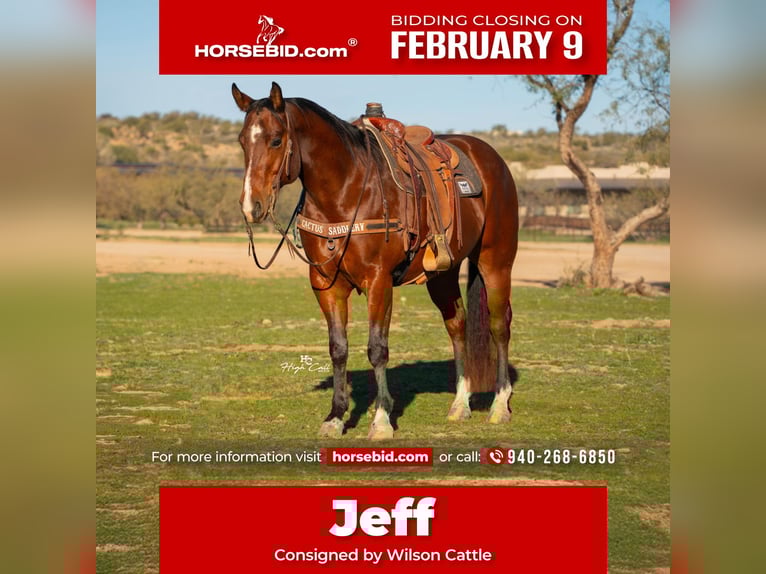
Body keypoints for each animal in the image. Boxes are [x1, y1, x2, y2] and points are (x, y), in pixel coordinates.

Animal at [232, 82, 518, 440]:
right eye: (242, 141)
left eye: (275, 139)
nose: (250, 205)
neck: (345, 190)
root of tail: (491, 159)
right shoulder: (326, 285)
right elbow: (338, 348)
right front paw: (335, 416)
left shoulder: (379, 281)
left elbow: (377, 348)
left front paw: (381, 419)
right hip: (443, 274)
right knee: (457, 325)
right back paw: (460, 404)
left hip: (496, 262)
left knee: (499, 325)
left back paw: (500, 405)